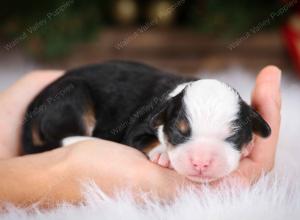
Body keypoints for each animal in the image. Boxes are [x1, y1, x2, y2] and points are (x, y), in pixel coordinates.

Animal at [20, 60, 270, 182]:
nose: (201, 163)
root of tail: (32, 110)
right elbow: (145, 139)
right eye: (179, 132)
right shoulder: (138, 126)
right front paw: (162, 153)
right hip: (74, 94)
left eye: (232, 137)